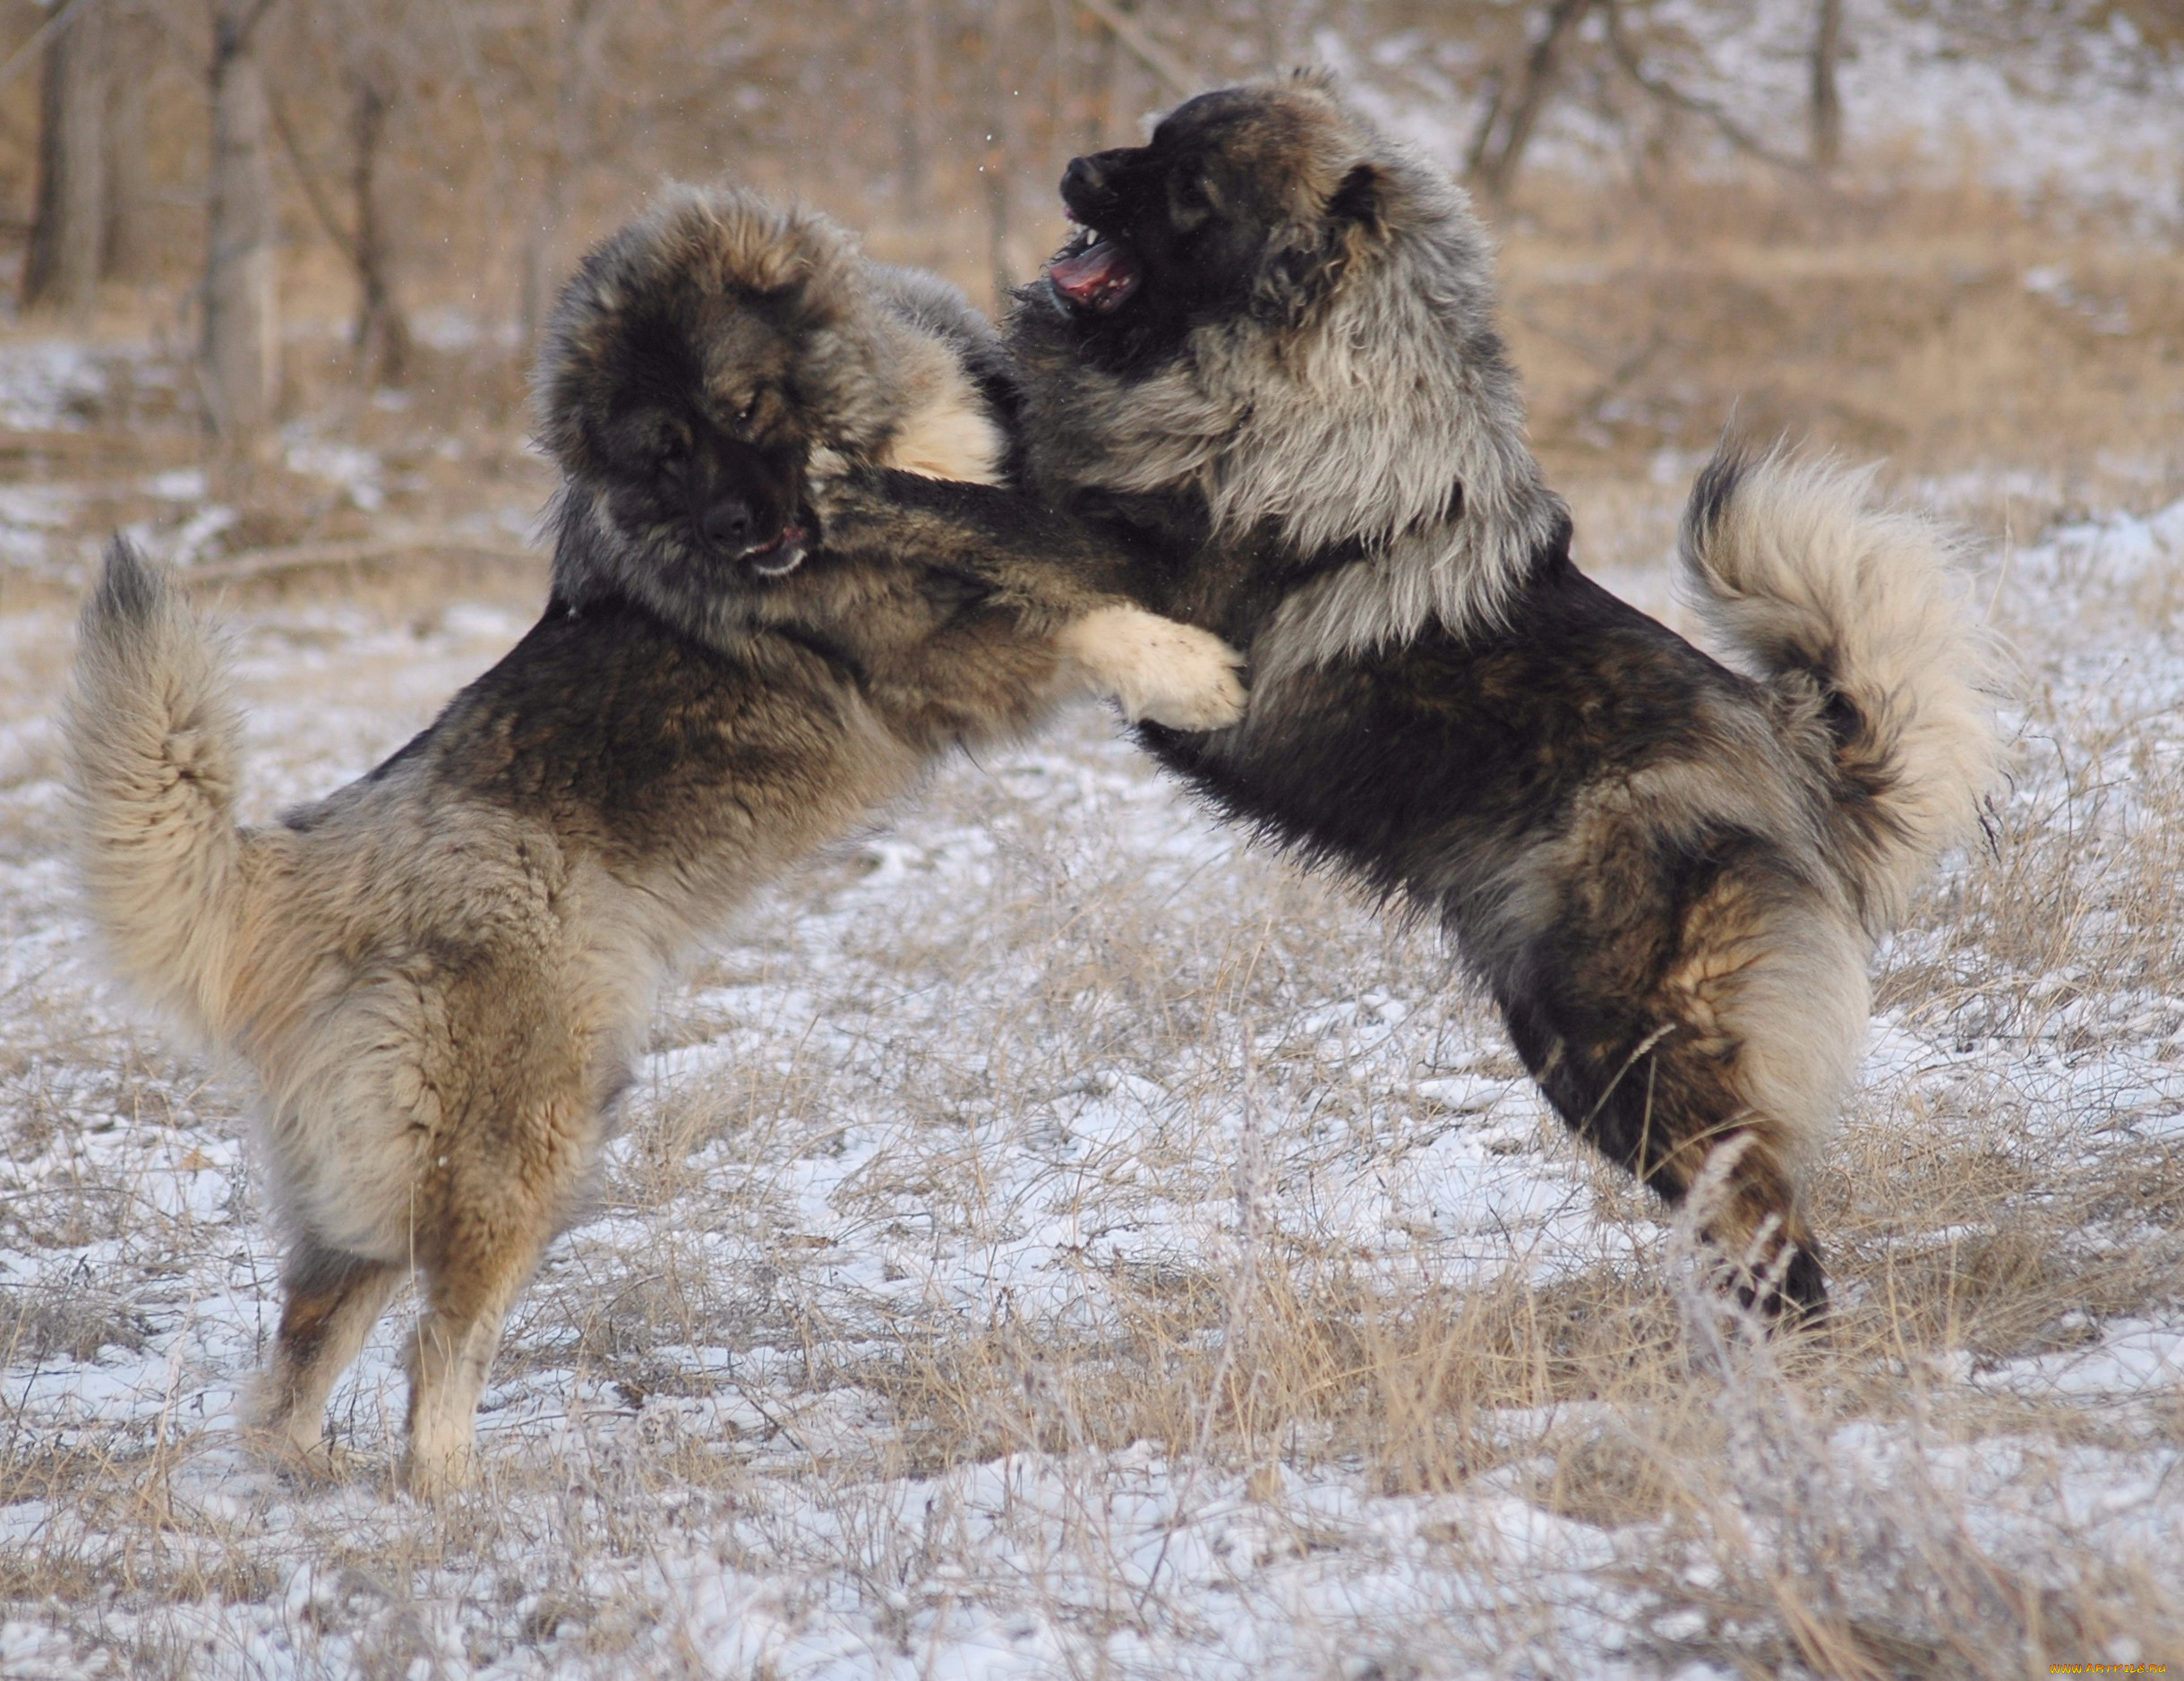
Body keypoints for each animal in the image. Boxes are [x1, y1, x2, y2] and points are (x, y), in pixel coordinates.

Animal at [64, 186, 1249, 1493]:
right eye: (661, 452)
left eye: (740, 409)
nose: (740, 526)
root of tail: (302, 865)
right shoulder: (921, 657)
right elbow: (1072, 621)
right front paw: (1189, 670)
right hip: (526, 1134)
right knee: (440, 1344)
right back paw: (453, 1492)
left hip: (375, 1180)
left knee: (300, 1355)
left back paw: (313, 1476)